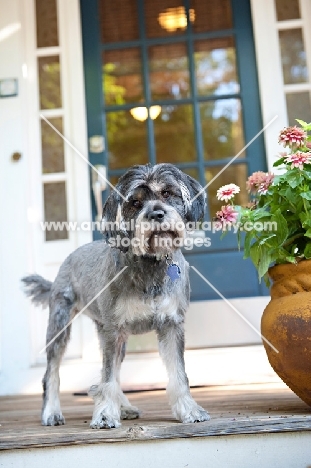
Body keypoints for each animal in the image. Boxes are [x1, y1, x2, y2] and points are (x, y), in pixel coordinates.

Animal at [23, 164, 211, 428]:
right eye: (135, 202)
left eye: (167, 193)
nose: (157, 215)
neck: (150, 264)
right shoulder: (114, 330)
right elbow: (108, 377)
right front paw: (104, 415)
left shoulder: (171, 325)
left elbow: (178, 374)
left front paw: (189, 409)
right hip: (60, 328)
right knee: (52, 372)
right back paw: (51, 412)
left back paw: (124, 407)